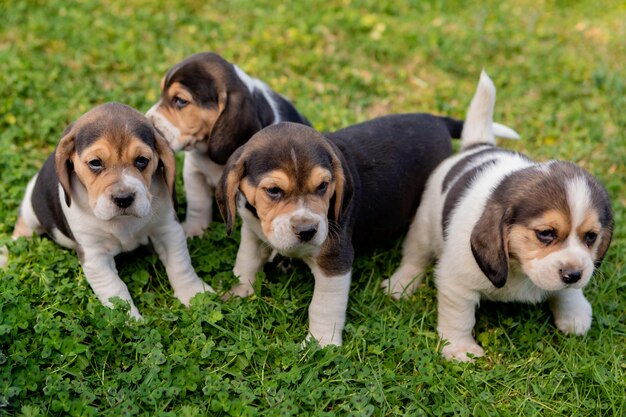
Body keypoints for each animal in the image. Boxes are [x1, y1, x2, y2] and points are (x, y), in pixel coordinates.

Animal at [382, 72, 612, 360]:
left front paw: (574, 314)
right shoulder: (457, 283)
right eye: (545, 234)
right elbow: (460, 318)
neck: (519, 268)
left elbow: (568, 294)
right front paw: (461, 349)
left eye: (591, 237)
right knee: (415, 256)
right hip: (424, 226)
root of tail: (479, 145)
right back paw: (401, 283)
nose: (573, 275)